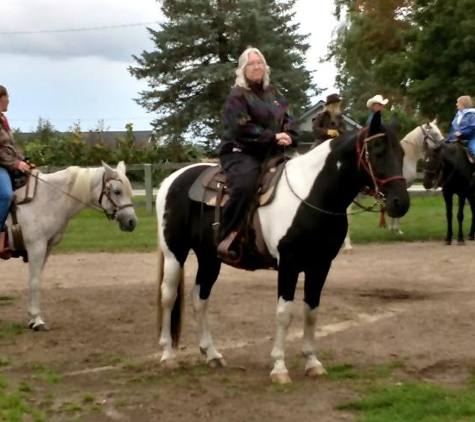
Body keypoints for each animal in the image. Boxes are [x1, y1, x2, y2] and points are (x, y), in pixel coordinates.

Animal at [3, 162, 137, 330]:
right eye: (117, 191)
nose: (132, 222)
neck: (47, 198)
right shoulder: (36, 247)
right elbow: (34, 281)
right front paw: (37, 319)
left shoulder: (46, 248)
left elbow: (37, 278)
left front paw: (32, 319)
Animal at [155, 113, 410, 384]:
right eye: (378, 151)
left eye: (402, 153)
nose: (401, 203)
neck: (311, 196)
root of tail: (172, 179)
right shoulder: (289, 264)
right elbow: (284, 313)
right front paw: (279, 367)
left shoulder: (320, 265)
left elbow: (311, 311)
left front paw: (312, 362)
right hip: (174, 253)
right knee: (168, 297)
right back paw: (168, 356)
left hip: (209, 258)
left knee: (199, 298)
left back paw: (212, 354)